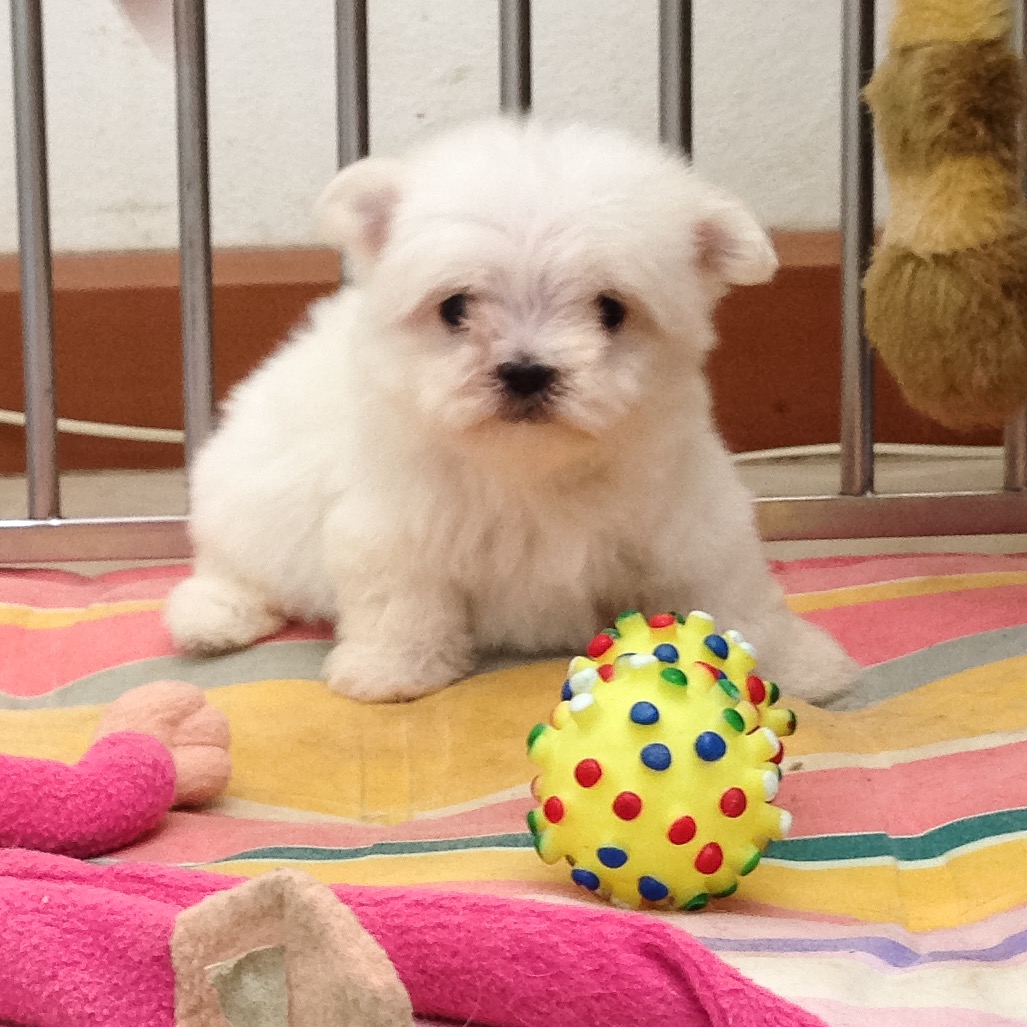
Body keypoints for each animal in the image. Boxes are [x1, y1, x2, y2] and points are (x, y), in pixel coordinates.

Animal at [165, 118, 859, 705]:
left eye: (611, 310)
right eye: (454, 308)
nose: (526, 371)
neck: (531, 468)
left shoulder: (689, 517)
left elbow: (734, 596)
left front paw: (799, 665)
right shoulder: (395, 521)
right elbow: (403, 598)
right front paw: (392, 671)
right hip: (243, 496)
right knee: (233, 565)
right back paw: (211, 618)